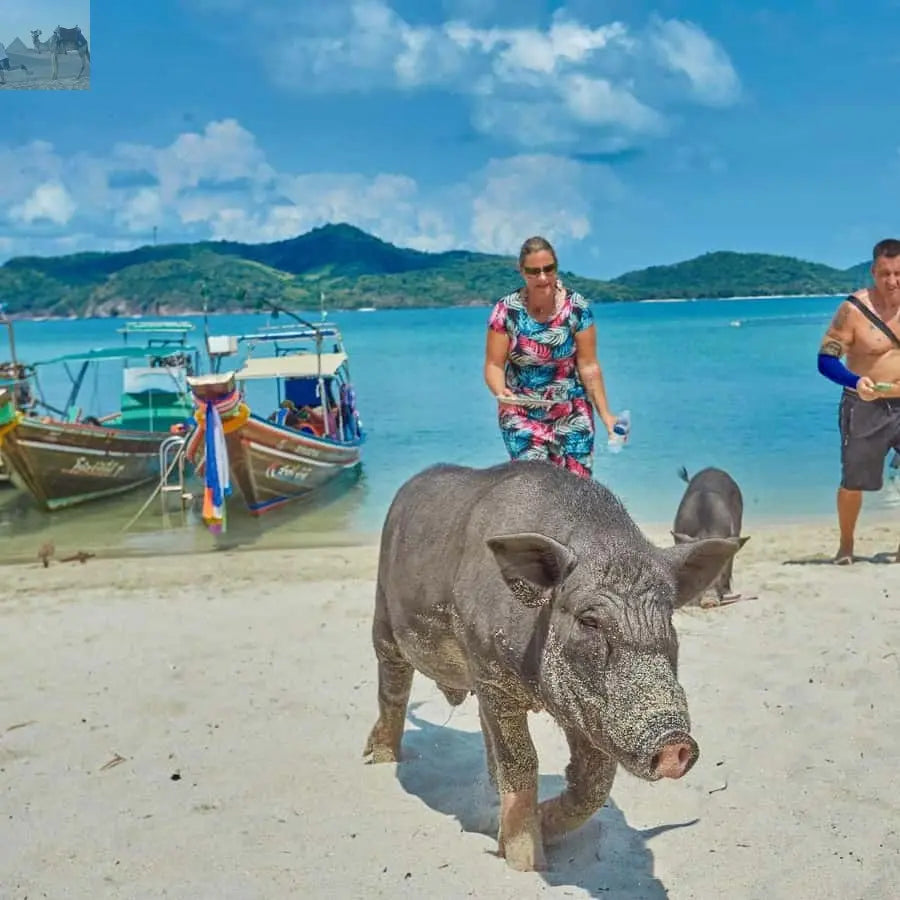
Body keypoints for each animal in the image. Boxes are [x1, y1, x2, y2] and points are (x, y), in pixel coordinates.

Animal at [364, 460, 742, 871]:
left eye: (668, 618)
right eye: (589, 621)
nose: (675, 742)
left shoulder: (585, 708)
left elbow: (592, 783)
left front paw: (526, 830)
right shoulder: (492, 674)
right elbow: (522, 762)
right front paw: (526, 863)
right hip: (384, 612)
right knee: (392, 686)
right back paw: (378, 759)